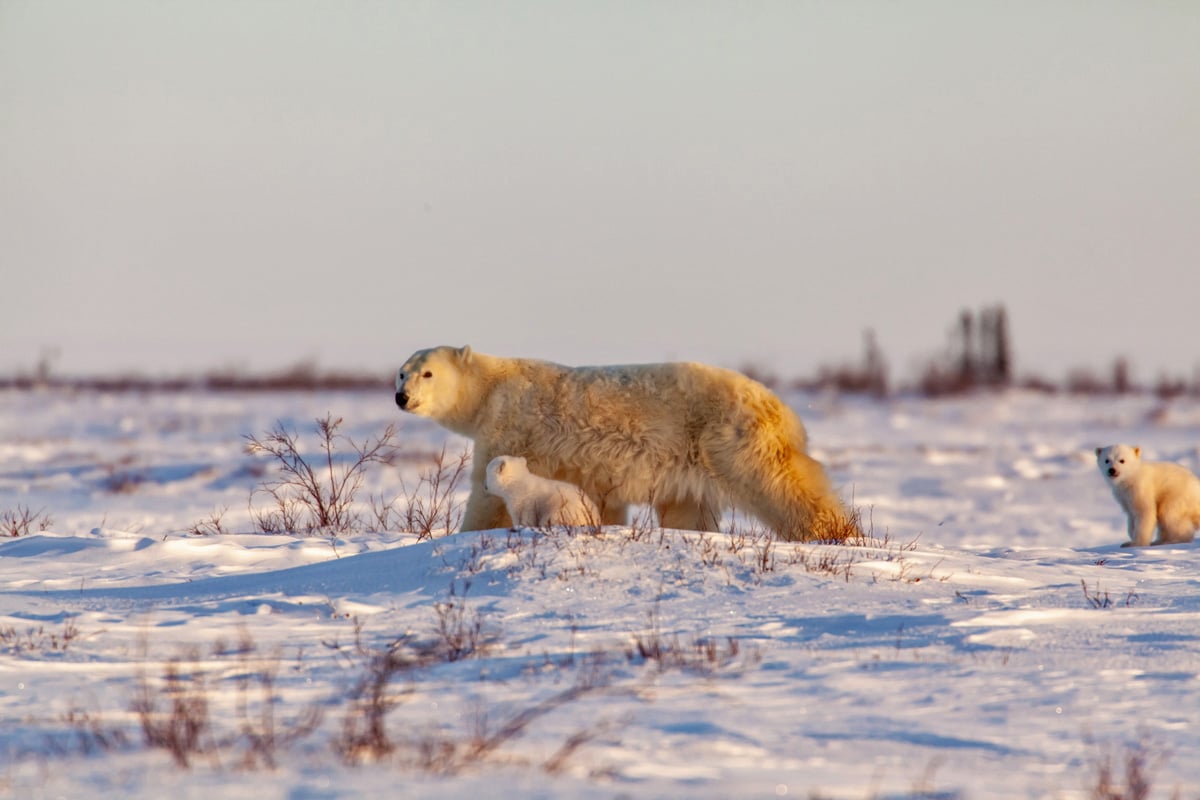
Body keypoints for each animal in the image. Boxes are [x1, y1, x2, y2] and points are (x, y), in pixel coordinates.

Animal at [391, 345, 854, 544]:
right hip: (691, 456)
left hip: (732, 437)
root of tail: (783, 409)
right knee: (688, 507)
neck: (489, 387)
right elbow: (602, 501)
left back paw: (834, 532)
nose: (401, 396)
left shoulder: (510, 424)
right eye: (401, 371)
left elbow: (488, 499)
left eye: (427, 373)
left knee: (779, 482)